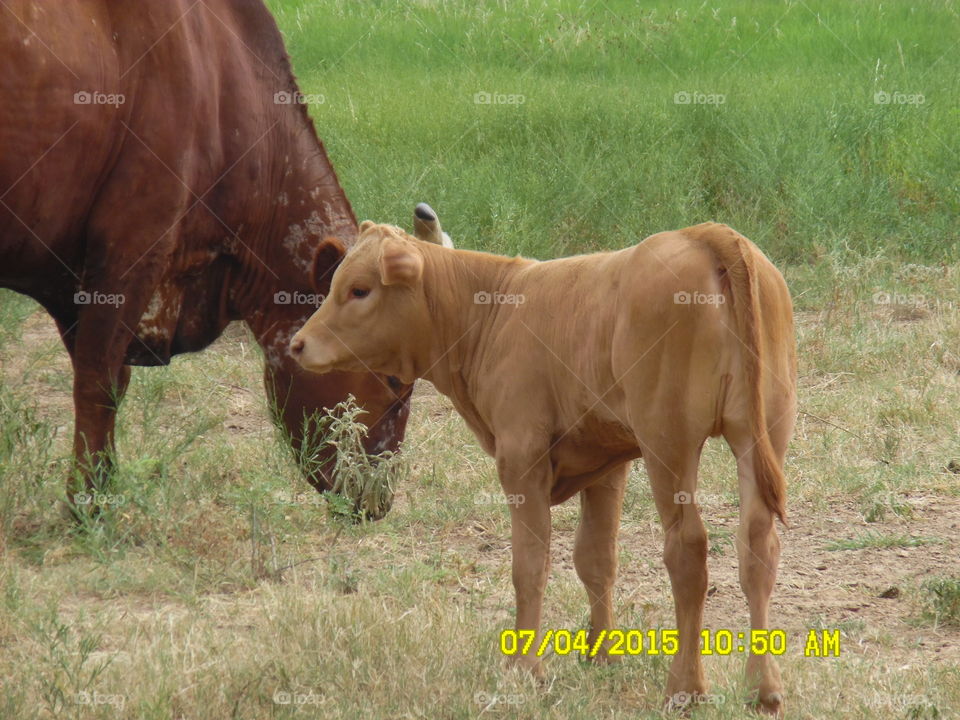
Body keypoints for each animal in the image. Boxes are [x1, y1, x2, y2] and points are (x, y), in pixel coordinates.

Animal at [290, 217, 797, 715]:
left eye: (359, 290)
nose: (298, 344)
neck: (492, 311)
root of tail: (707, 234)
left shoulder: (521, 458)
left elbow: (529, 565)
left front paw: (524, 667)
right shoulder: (608, 459)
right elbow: (596, 558)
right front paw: (601, 653)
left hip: (668, 443)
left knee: (688, 548)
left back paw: (685, 687)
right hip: (761, 434)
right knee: (757, 545)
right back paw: (763, 687)